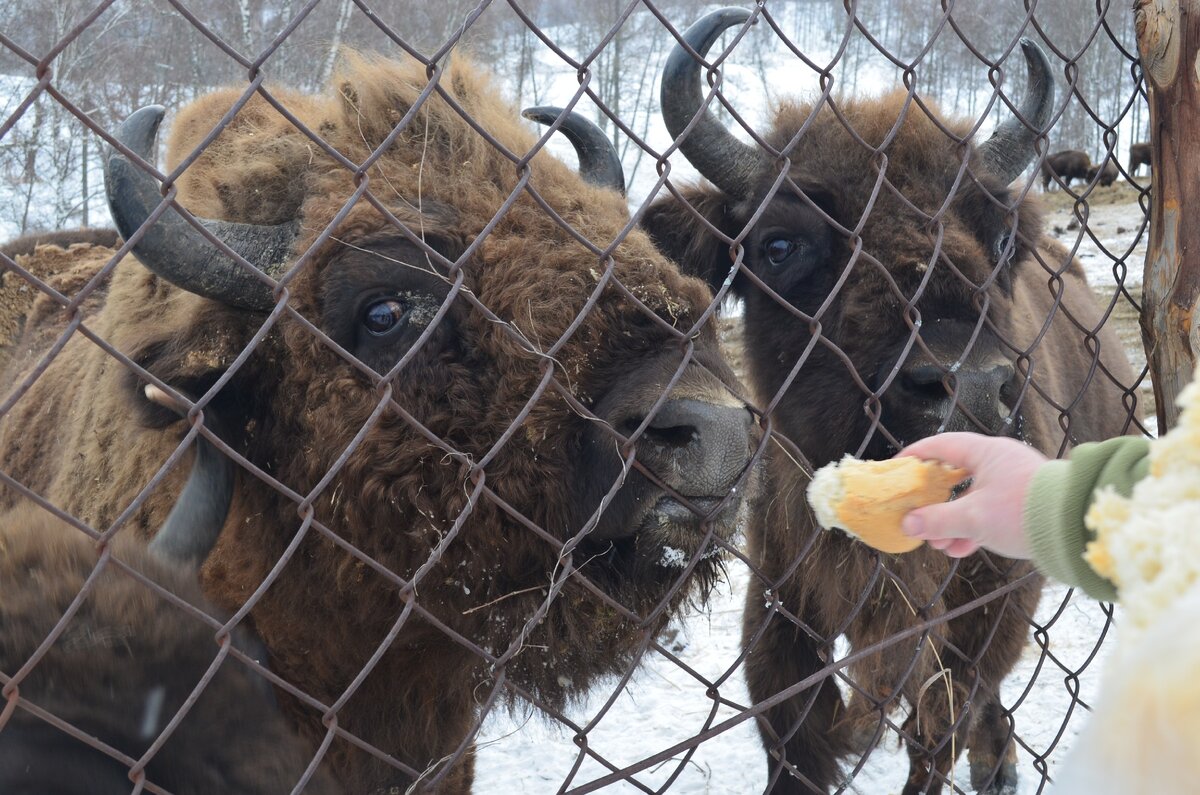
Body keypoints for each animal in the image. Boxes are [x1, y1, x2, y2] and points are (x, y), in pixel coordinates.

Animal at [643, 10, 1137, 795]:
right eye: (779, 245)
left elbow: (938, 729)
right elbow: (797, 740)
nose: (971, 386)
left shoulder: (992, 600)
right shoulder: (781, 603)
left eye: (999, 238)